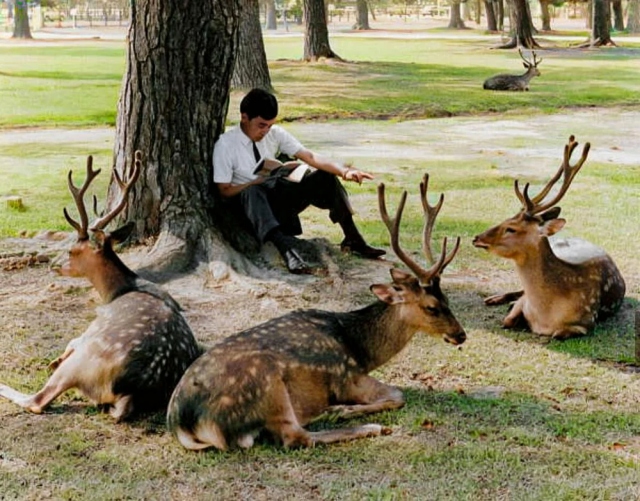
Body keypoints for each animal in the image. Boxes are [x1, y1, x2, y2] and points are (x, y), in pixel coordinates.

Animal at [0, 151, 202, 418]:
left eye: (72, 250)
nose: (54, 264)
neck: (115, 292)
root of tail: (131, 392)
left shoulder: (90, 328)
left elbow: (72, 341)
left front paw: (55, 359)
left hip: (82, 361)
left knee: (38, 400)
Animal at [165, 173, 464, 450]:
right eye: (431, 307)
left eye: (447, 298)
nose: (461, 334)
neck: (360, 349)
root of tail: (186, 425)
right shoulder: (346, 377)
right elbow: (398, 394)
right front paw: (342, 409)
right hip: (266, 385)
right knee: (295, 437)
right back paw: (366, 425)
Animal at [472, 136, 624, 340]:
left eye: (511, 228)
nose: (477, 237)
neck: (544, 315)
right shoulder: (524, 303)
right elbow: (508, 320)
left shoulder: (587, 322)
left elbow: (557, 334)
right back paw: (493, 298)